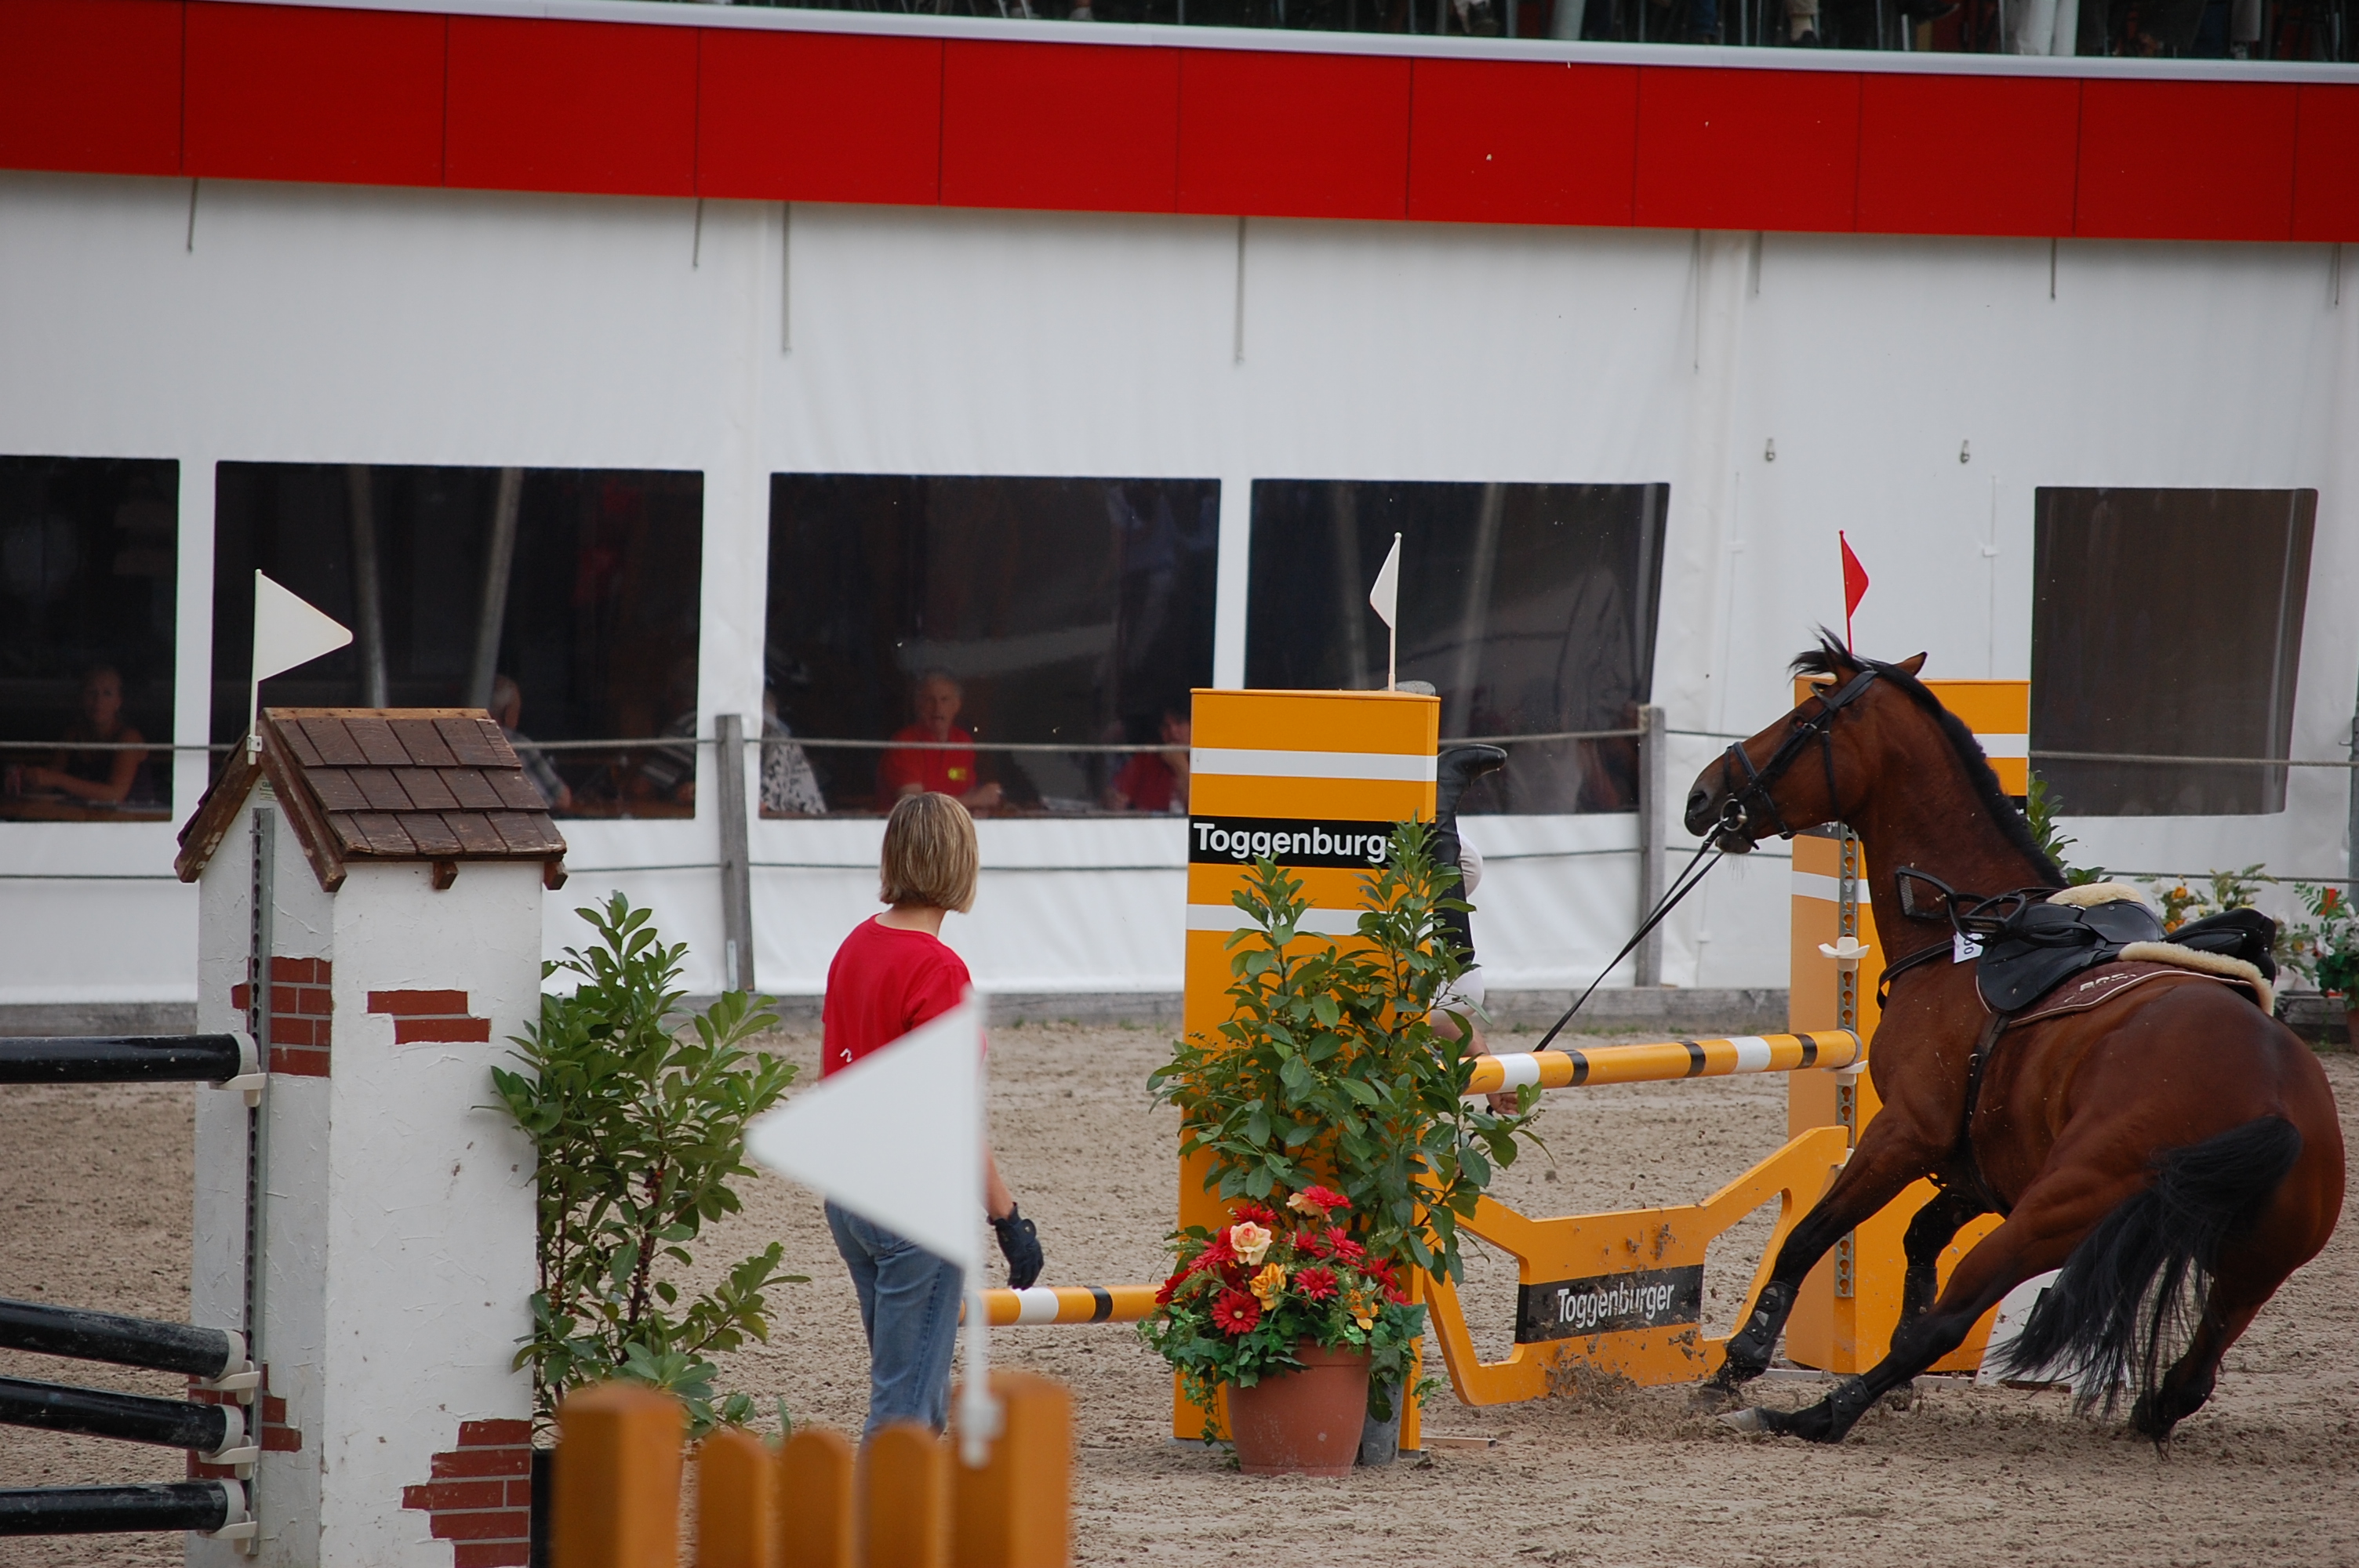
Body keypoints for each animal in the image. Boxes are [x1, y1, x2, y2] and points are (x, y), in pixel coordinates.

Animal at [1680, 637, 2344, 1445]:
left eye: (1805, 719)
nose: (1702, 798)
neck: (1966, 935)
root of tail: (2276, 1105)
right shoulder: (1981, 1164)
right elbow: (1919, 1239)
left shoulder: (1907, 1133)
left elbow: (1811, 1235)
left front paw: (1737, 1364)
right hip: (2247, 1270)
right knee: (2191, 1377)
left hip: (2054, 1218)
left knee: (1958, 1312)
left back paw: (1813, 1414)